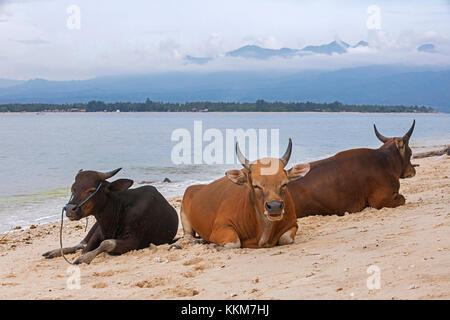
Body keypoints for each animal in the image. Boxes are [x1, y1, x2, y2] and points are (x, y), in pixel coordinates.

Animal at [42, 169, 179, 264]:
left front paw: (83, 259)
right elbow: (85, 248)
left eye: (91, 190)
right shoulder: (98, 232)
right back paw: (52, 252)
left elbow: (106, 243)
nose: (70, 210)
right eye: (73, 189)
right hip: (93, 227)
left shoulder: (133, 240)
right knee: (80, 244)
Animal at [179, 139, 310, 249]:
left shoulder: (293, 225)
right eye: (256, 185)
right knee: (188, 236)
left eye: (284, 183)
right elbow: (235, 242)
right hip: (184, 219)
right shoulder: (220, 227)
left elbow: (285, 239)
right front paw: (214, 245)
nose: (275, 206)